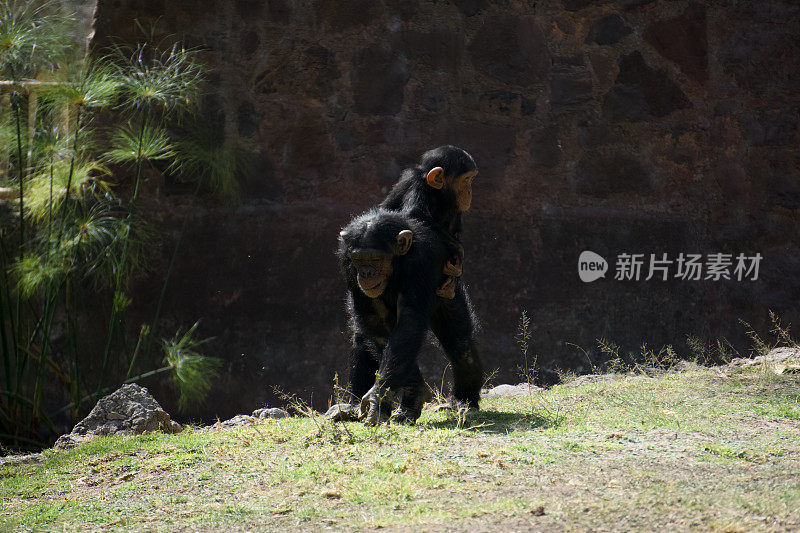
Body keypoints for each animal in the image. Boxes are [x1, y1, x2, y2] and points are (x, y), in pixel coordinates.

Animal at [338, 208, 450, 424]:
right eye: (358, 260)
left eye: (375, 259)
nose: (365, 273)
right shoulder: (347, 263)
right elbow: (375, 321)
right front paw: (412, 390)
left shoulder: (420, 260)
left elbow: (409, 319)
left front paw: (378, 395)